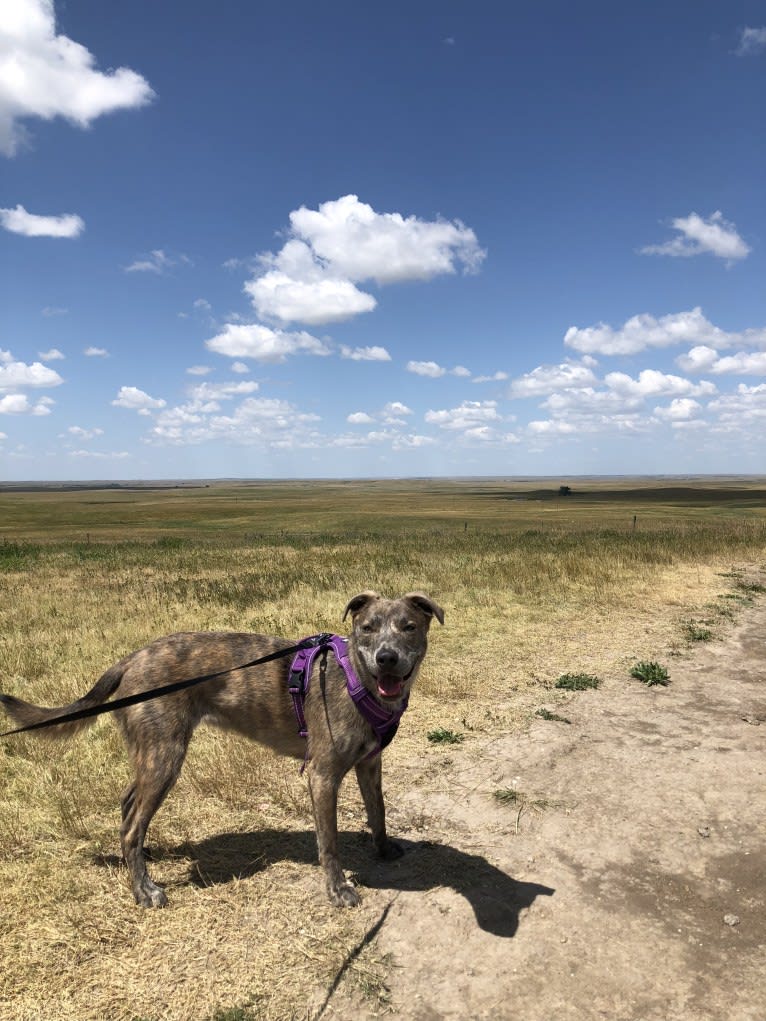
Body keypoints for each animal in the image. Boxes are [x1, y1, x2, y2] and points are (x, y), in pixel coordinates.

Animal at [0, 592, 443, 910]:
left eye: (408, 627)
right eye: (367, 628)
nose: (387, 658)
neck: (360, 681)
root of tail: (131, 659)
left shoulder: (370, 764)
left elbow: (378, 811)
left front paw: (383, 849)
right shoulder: (323, 775)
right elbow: (329, 843)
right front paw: (338, 891)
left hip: (151, 754)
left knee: (129, 808)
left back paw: (142, 858)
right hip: (165, 756)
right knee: (130, 825)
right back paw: (144, 891)